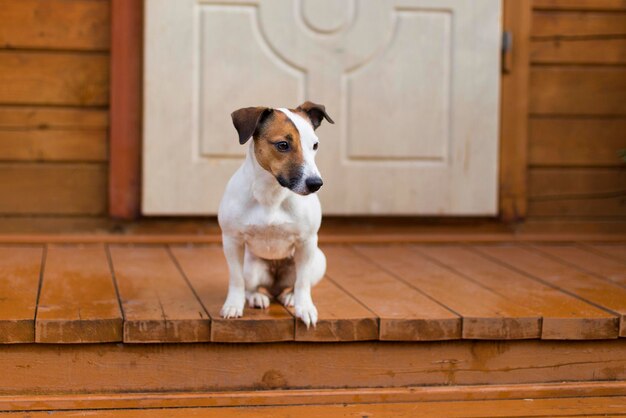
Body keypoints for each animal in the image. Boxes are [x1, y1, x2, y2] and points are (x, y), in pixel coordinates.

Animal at [216, 100, 332, 326]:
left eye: (315, 145)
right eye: (283, 145)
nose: (316, 184)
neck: (271, 194)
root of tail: (275, 287)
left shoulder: (307, 242)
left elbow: (303, 282)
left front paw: (305, 307)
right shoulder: (232, 241)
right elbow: (236, 280)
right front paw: (233, 304)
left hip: (318, 260)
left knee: (296, 283)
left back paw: (291, 297)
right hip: (251, 267)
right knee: (251, 286)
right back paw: (257, 297)